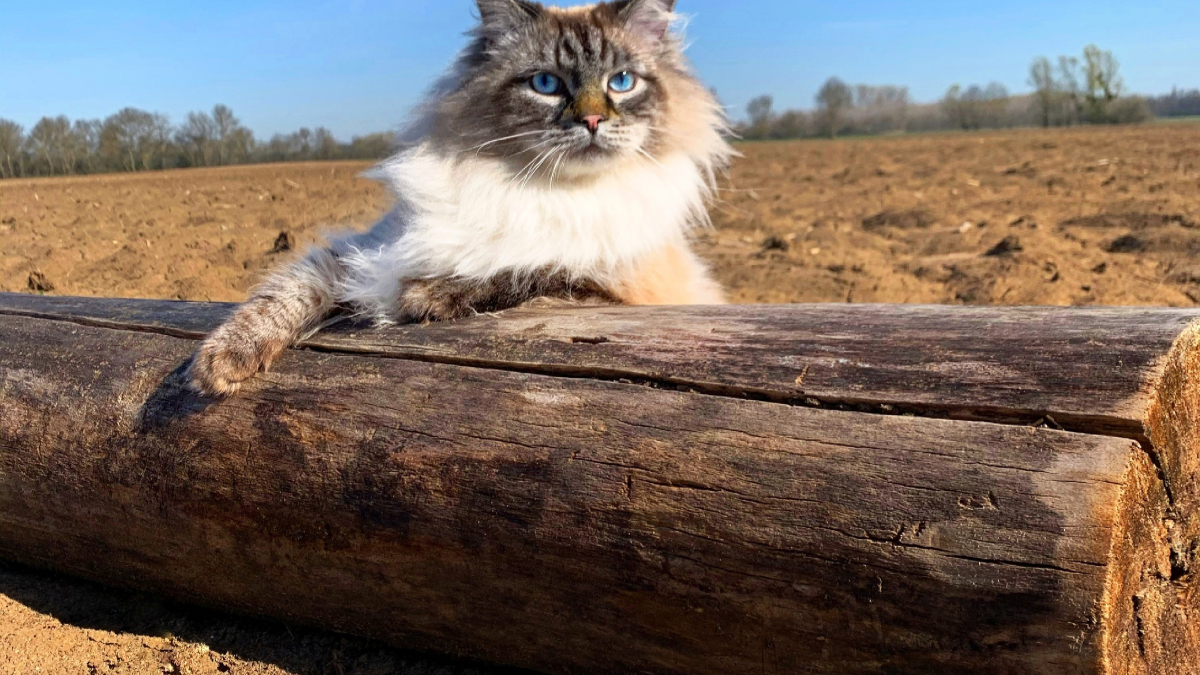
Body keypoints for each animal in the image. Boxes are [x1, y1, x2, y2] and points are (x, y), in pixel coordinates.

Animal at [187, 0, 729, 393]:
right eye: (547, 84)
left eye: (622, 82)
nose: (593, 120)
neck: (533, 188)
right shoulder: (365, 251)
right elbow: (283, 294)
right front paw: (219, 364)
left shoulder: (603, 286)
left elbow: (523, 271)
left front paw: (423, 295)